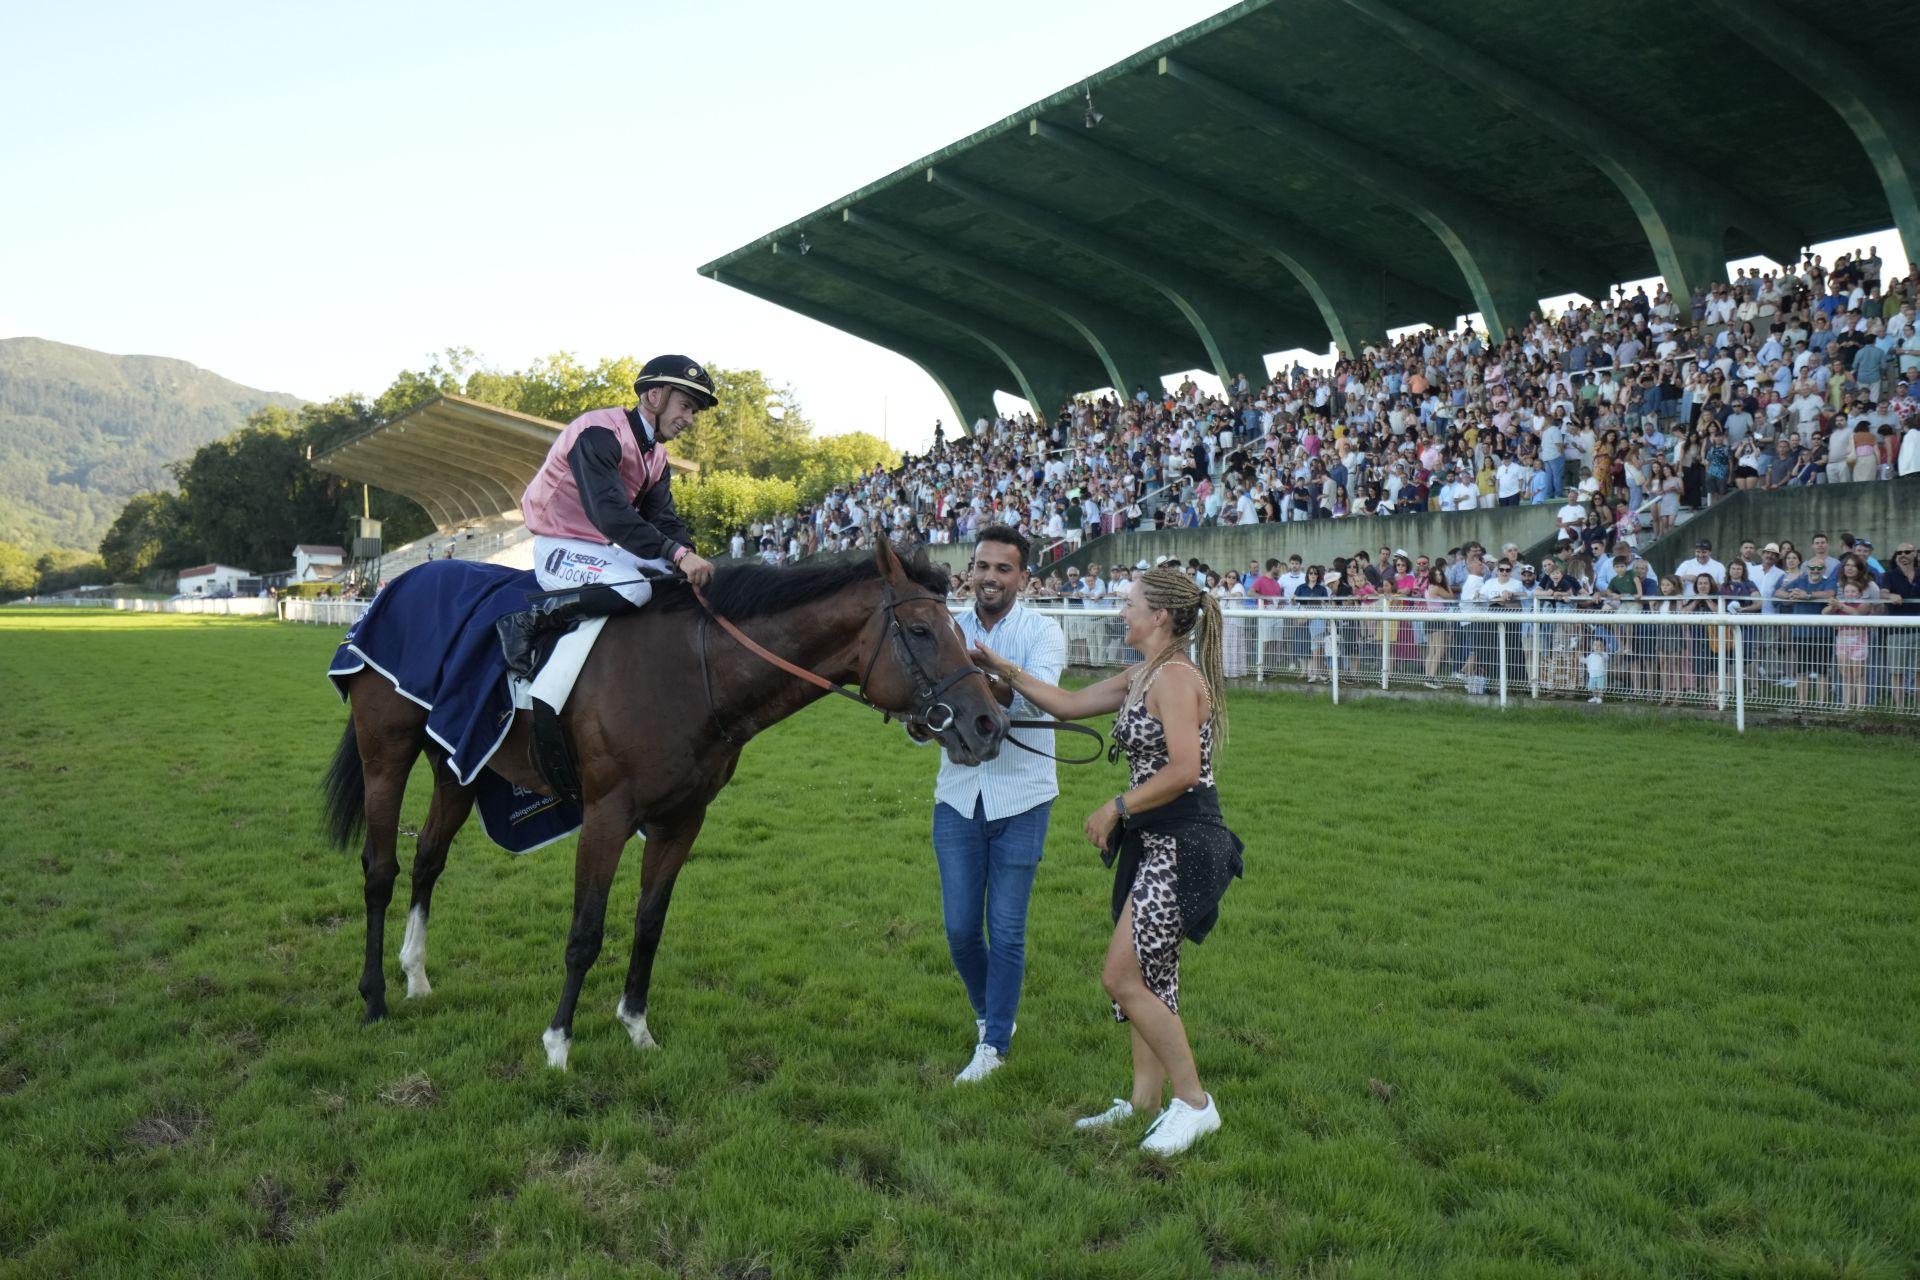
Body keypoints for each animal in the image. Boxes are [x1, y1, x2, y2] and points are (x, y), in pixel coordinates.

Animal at [318, 537, 1006, 1066]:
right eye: (921, 630)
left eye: (961, 628)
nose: (989, 723)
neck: (695, 673)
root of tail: (400, 584)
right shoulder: (606, 816)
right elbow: (586, 931)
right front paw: (559, 1043)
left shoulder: (682, 820)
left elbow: (650, 923)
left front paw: (637, 1028)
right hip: (387, 752)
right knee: (381, 870)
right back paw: (374, 996)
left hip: (459, 763)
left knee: (428, 860)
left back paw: (415, 974)